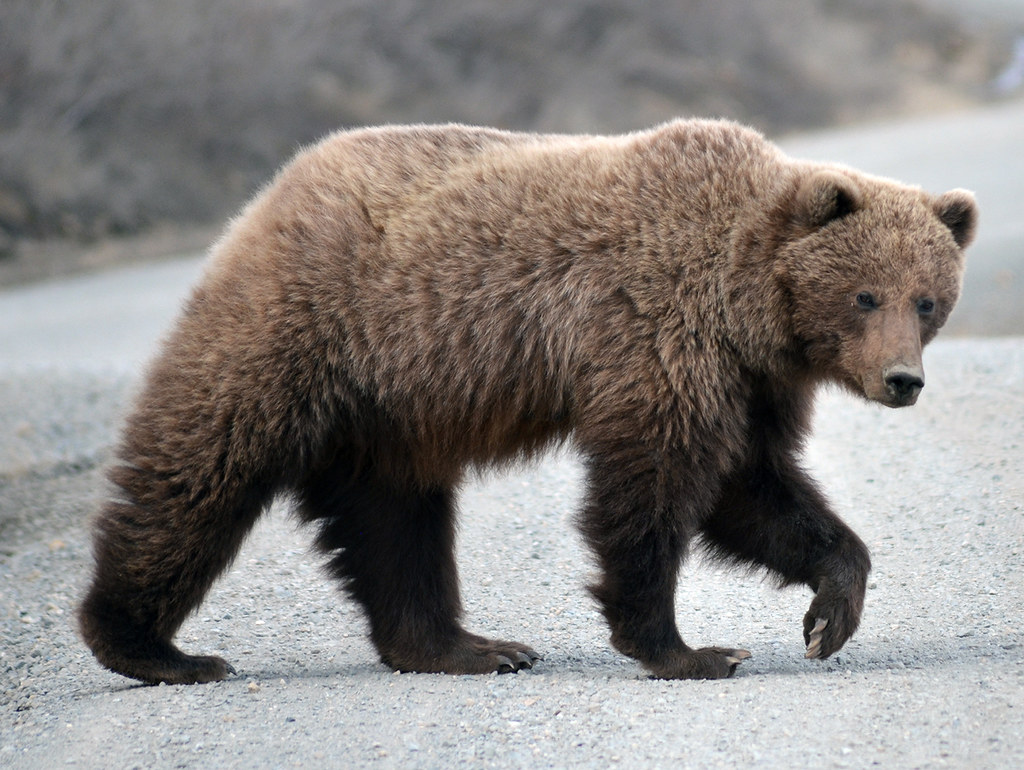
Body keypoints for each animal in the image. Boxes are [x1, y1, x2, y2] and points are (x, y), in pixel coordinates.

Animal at [79, 119, 977, 684]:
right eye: (866, 295)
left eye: (928, 300)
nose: (902, 380)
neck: (747, 305)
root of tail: (272, 192)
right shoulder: (655, 334)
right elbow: (653, 489)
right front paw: (688, 649)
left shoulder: (749, 382)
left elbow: (754, 490)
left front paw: (831, 613)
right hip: (304, 329)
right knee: (201, 468)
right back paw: (152, 647)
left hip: (389, 409)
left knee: (395, 521)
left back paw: (465, 645)